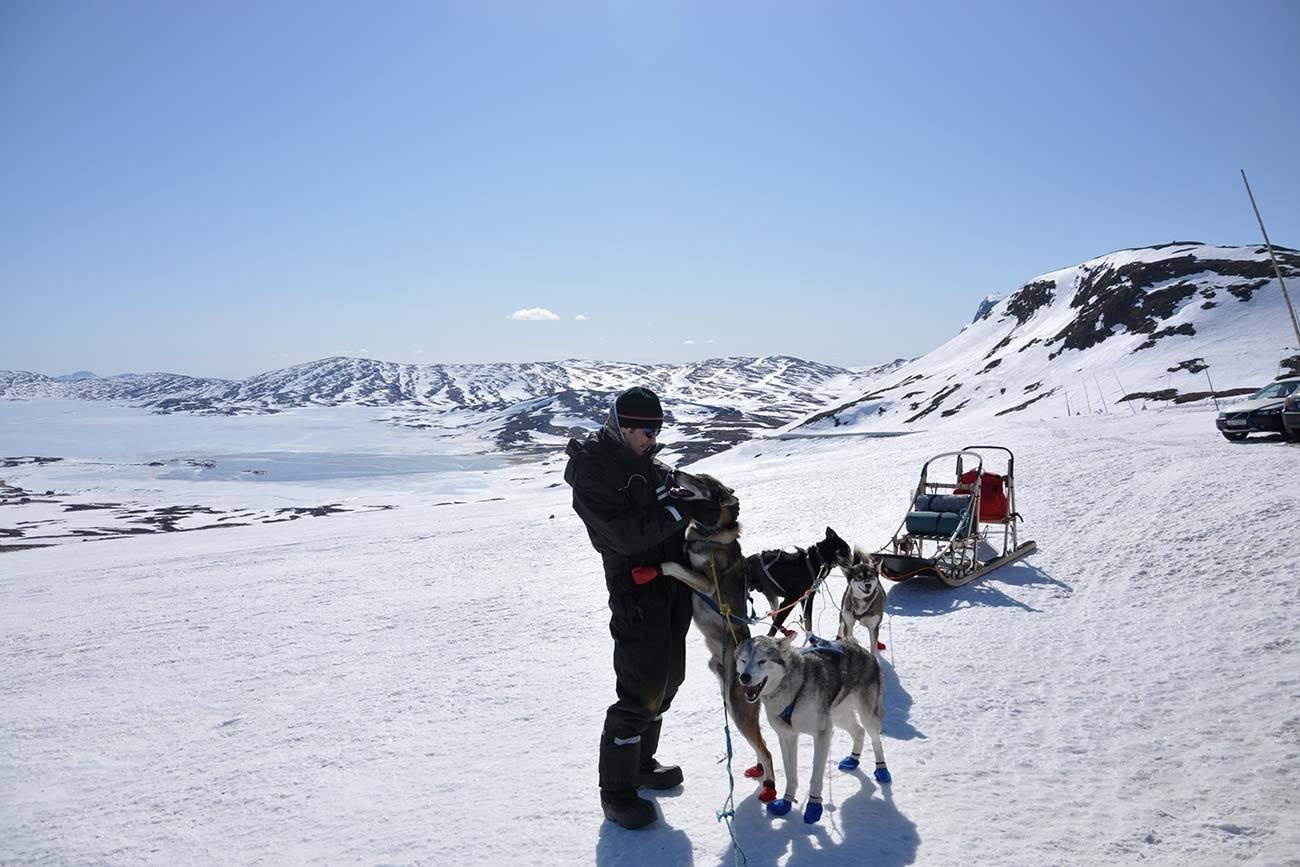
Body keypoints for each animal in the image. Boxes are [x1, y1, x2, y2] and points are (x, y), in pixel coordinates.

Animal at [660, 475, 769, 800]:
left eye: (699, 480)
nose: (675, 471)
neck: (707, 535)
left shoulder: (707, 583)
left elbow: (678, 566)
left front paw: (662, 566)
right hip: (732, 707)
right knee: (760, 746)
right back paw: (759, 772)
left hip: (737, 707)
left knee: (767, 750)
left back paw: (771, 788)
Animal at [738, 634, 889, 826]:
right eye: (743, 660)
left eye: (762, 661)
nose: (744, 677)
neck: (792, 689)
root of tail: (858, 647)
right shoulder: (786, 736)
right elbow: (791, 775)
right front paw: (786, 802)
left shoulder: (822, 734)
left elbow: (816, 777)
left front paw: (813, 807)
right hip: (839, 716)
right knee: (859, 732)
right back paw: (853, 760)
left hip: (866, 715)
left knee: (875, 739)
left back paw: (882, 769)